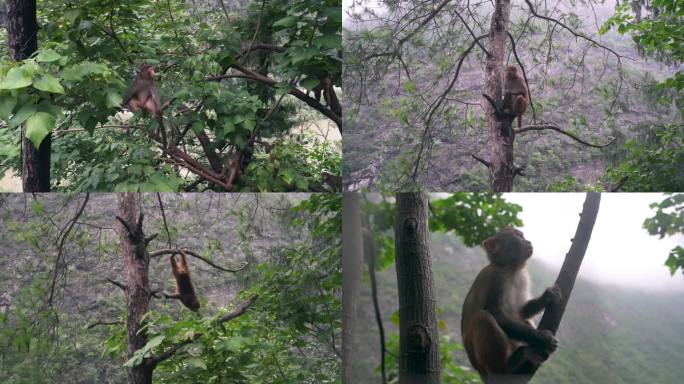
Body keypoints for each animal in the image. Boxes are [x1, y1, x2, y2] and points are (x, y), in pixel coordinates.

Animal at [460, 228, 560, 380]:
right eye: (517, 236)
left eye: (523, 236)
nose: (528, 241)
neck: (511, 269)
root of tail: (481, 373)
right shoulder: (497, 277)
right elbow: (496, 314)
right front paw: (543, 338)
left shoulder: (522, 277)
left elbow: (522, 312)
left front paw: (547, 297)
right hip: (483, 364)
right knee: (483, 318)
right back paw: (510, 365)